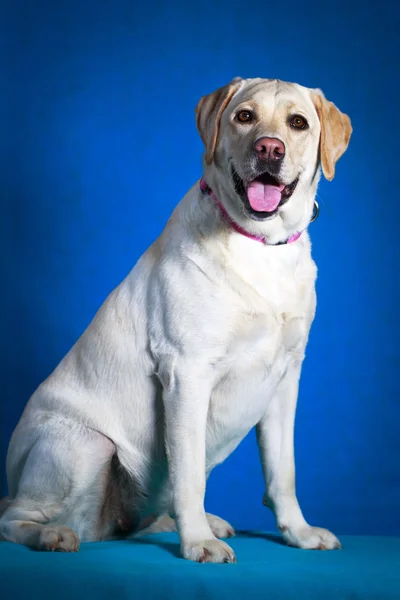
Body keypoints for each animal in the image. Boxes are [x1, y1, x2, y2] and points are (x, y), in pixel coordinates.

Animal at [0, 76, 350, 564]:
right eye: (245, 116)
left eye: (298, 123)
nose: (269, 149)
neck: (260, 246)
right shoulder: (188, 374)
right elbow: (190, 474)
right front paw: (197, 542)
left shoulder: (285, 379)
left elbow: (284, 472)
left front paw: (297, 532)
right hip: (86, 444)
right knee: (14, 518)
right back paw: (51, 535)